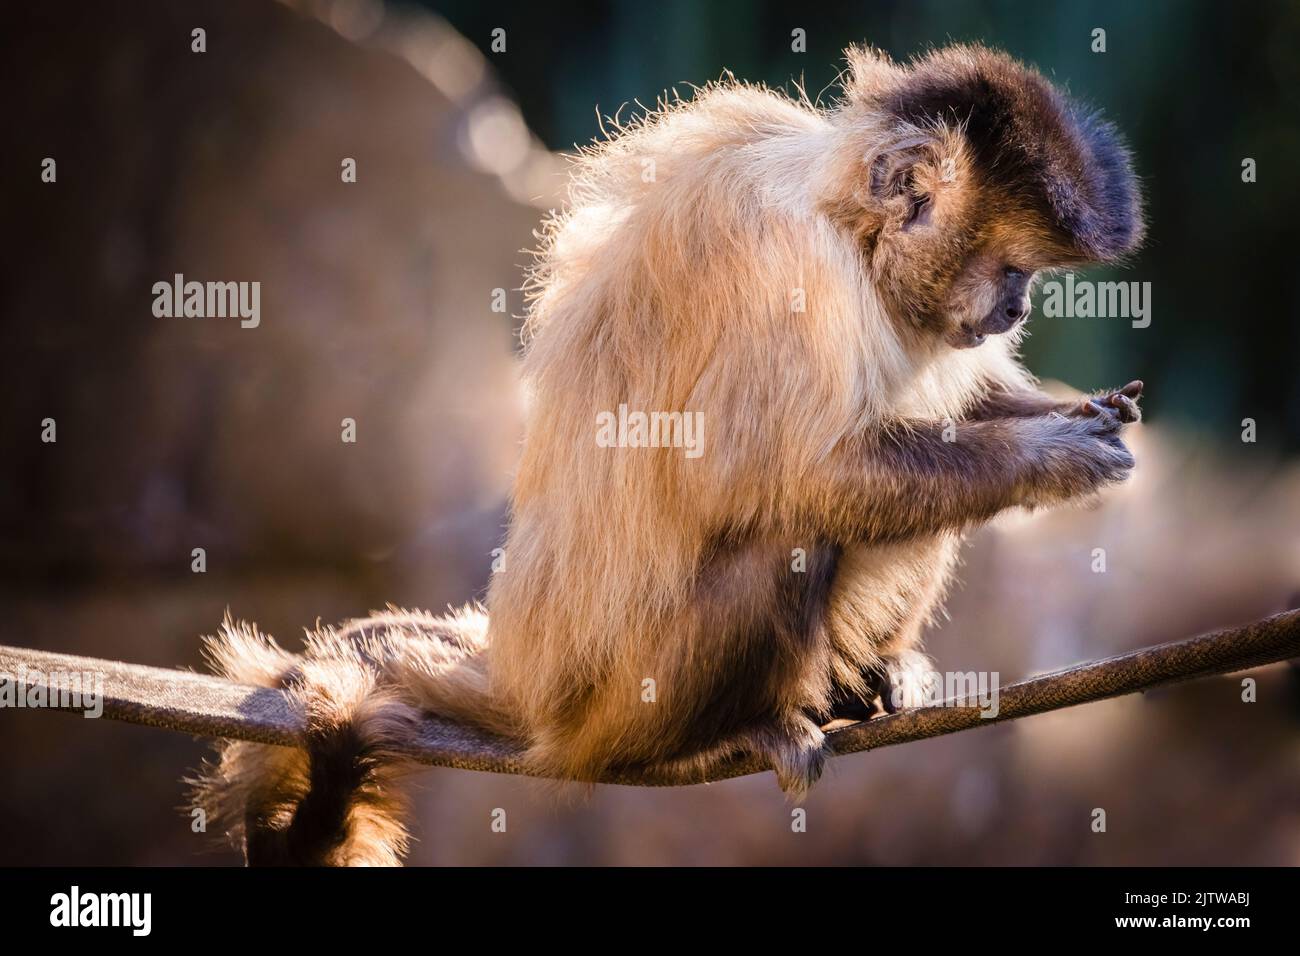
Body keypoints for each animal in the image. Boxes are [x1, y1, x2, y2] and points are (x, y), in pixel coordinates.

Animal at [188, 42, 1144, 868]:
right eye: (1012, 268)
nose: (1018, 307)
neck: (843, 219)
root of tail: (526, 679)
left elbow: (958, 406)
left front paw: (1086, 415)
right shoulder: (789, 265)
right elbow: (788, 477)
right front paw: (1055, 455)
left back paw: (863, 678)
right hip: (623, 699)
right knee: (784, 531)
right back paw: (731, 733)